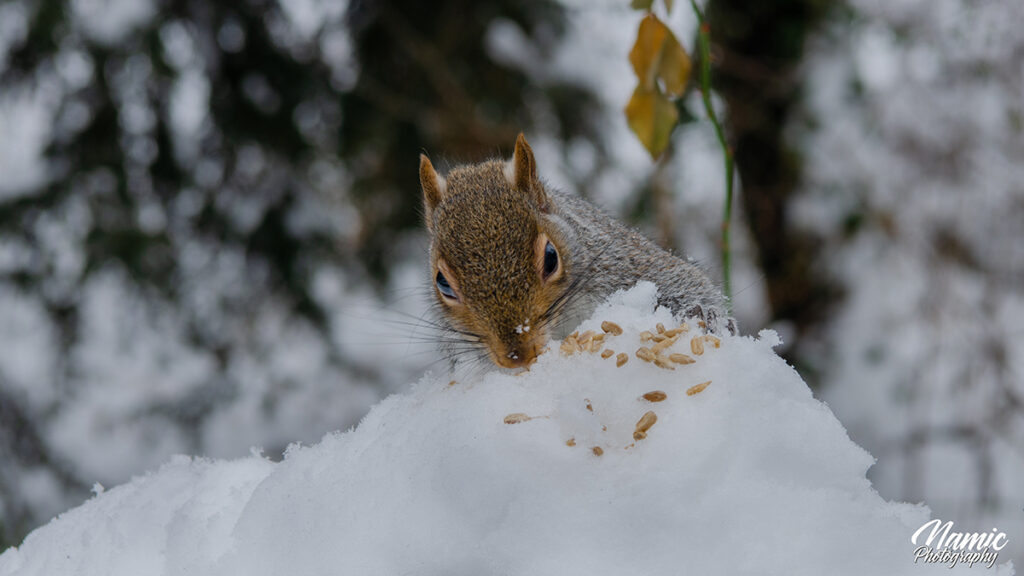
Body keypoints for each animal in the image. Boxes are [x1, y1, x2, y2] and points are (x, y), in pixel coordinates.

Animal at [417, 133, 729, 366]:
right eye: (442, 284)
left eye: (551, 258)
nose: (519, 356)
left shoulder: (624, 263)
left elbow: (685, 281)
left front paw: (706, 317)